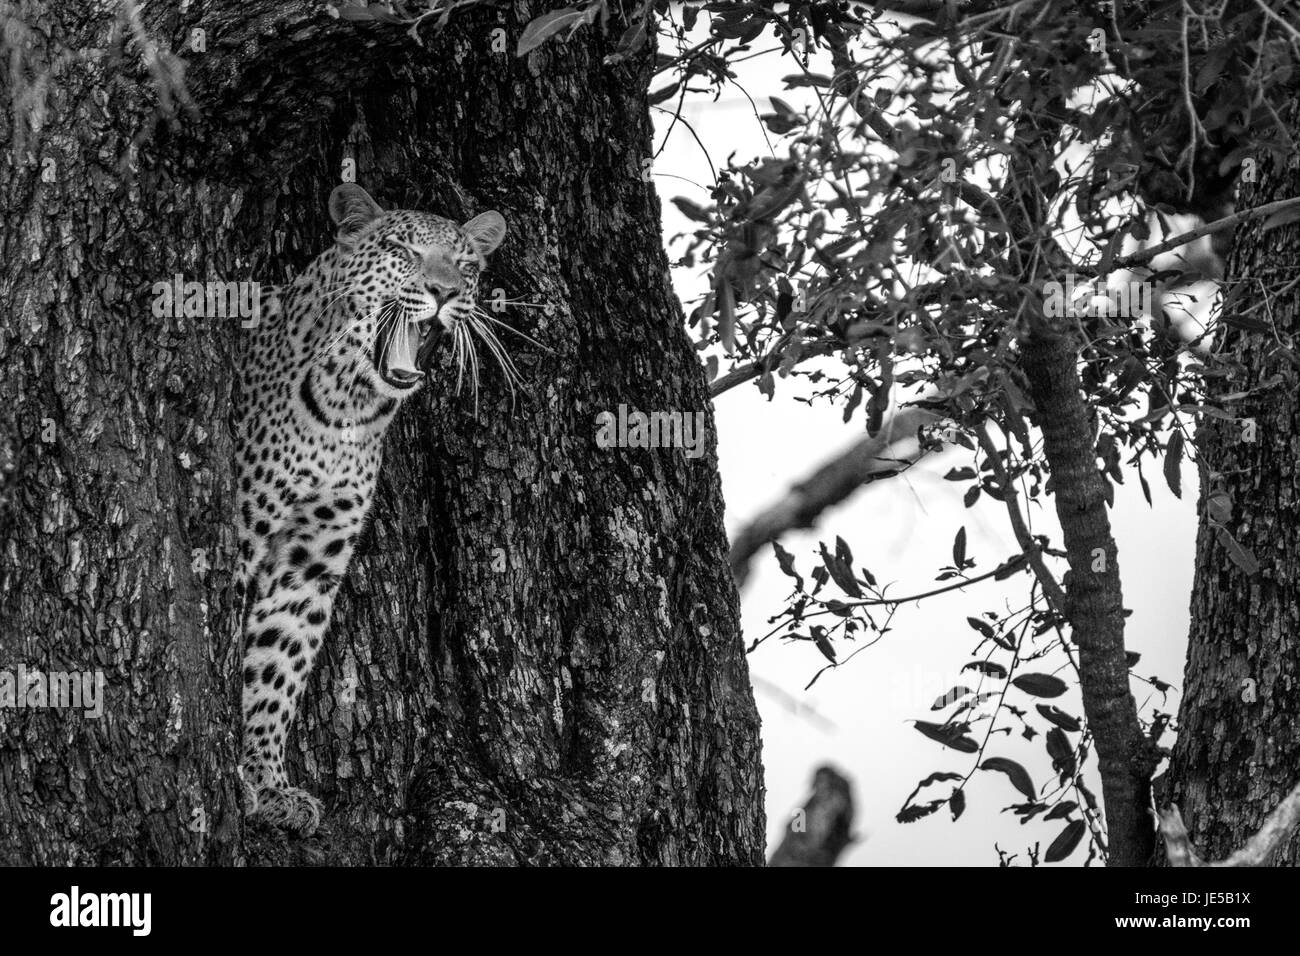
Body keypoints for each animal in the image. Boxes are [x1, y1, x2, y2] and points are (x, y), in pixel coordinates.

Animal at [233, 183, 507, 834]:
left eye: (466, 265)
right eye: (403, 251)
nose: (445, 292)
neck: (348, 408)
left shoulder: (310, 559)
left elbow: (277, 665)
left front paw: (268, 782)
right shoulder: (244, 522)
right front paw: (239, 771)